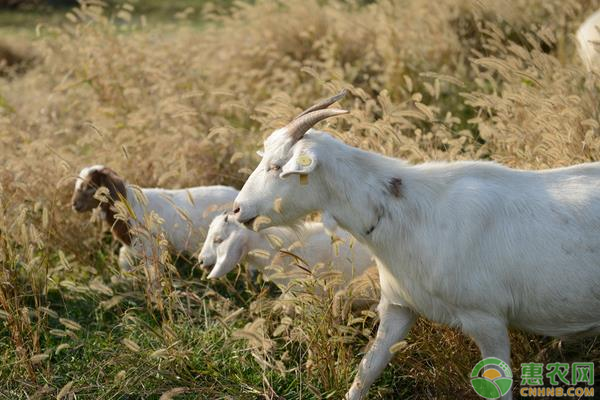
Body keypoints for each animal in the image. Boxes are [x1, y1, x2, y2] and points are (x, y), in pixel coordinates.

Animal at [232, 90, 600, 400]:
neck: (413, 214)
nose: (237, 209)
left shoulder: (487, 318)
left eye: (277, 167)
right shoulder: (398, 305)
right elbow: (367, 371)